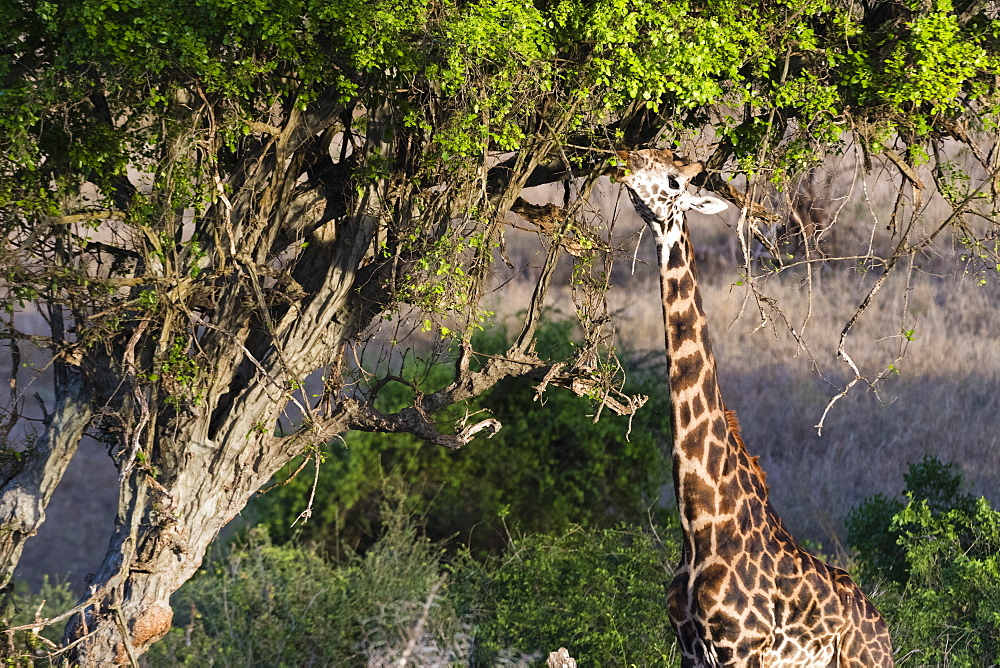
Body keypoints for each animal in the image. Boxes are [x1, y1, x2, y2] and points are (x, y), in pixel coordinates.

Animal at [612, 150, 896, 668]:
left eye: (673, 180)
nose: (622, 160)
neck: (699, 524)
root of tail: (884, 629)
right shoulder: (689, 649)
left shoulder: (741, 649)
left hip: (862, 662)